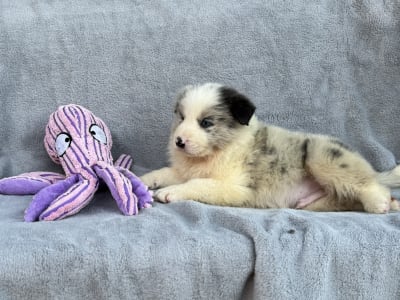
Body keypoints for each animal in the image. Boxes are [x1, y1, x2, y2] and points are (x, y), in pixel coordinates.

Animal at [141, 83, 400, 212]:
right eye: (181, 117)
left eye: (206, 123)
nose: (179, 141)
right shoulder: (185, 169)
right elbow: (166, 172)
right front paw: (144, 181)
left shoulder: (237, 187)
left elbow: (199, 184)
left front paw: (170, 192)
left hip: (322, 156)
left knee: (368, 184)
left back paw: (379, 203)